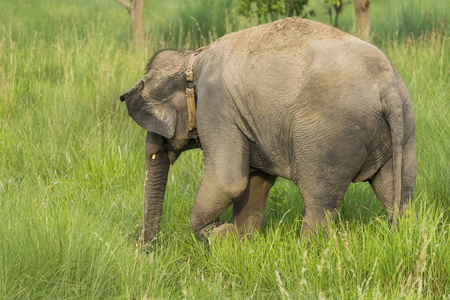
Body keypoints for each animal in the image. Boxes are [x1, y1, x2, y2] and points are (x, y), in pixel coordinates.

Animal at [119, 17, 414, 244]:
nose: (145, 252)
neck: (192, 57)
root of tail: (387, 84)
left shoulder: (216, 108)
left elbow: (228, 181)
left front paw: (220, 235)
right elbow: (255, 182)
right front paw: (243, 243)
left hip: (329, 135)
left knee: (319, 201)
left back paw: (305, 252)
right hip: (405, 126)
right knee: (398, 191)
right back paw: (402, 235)